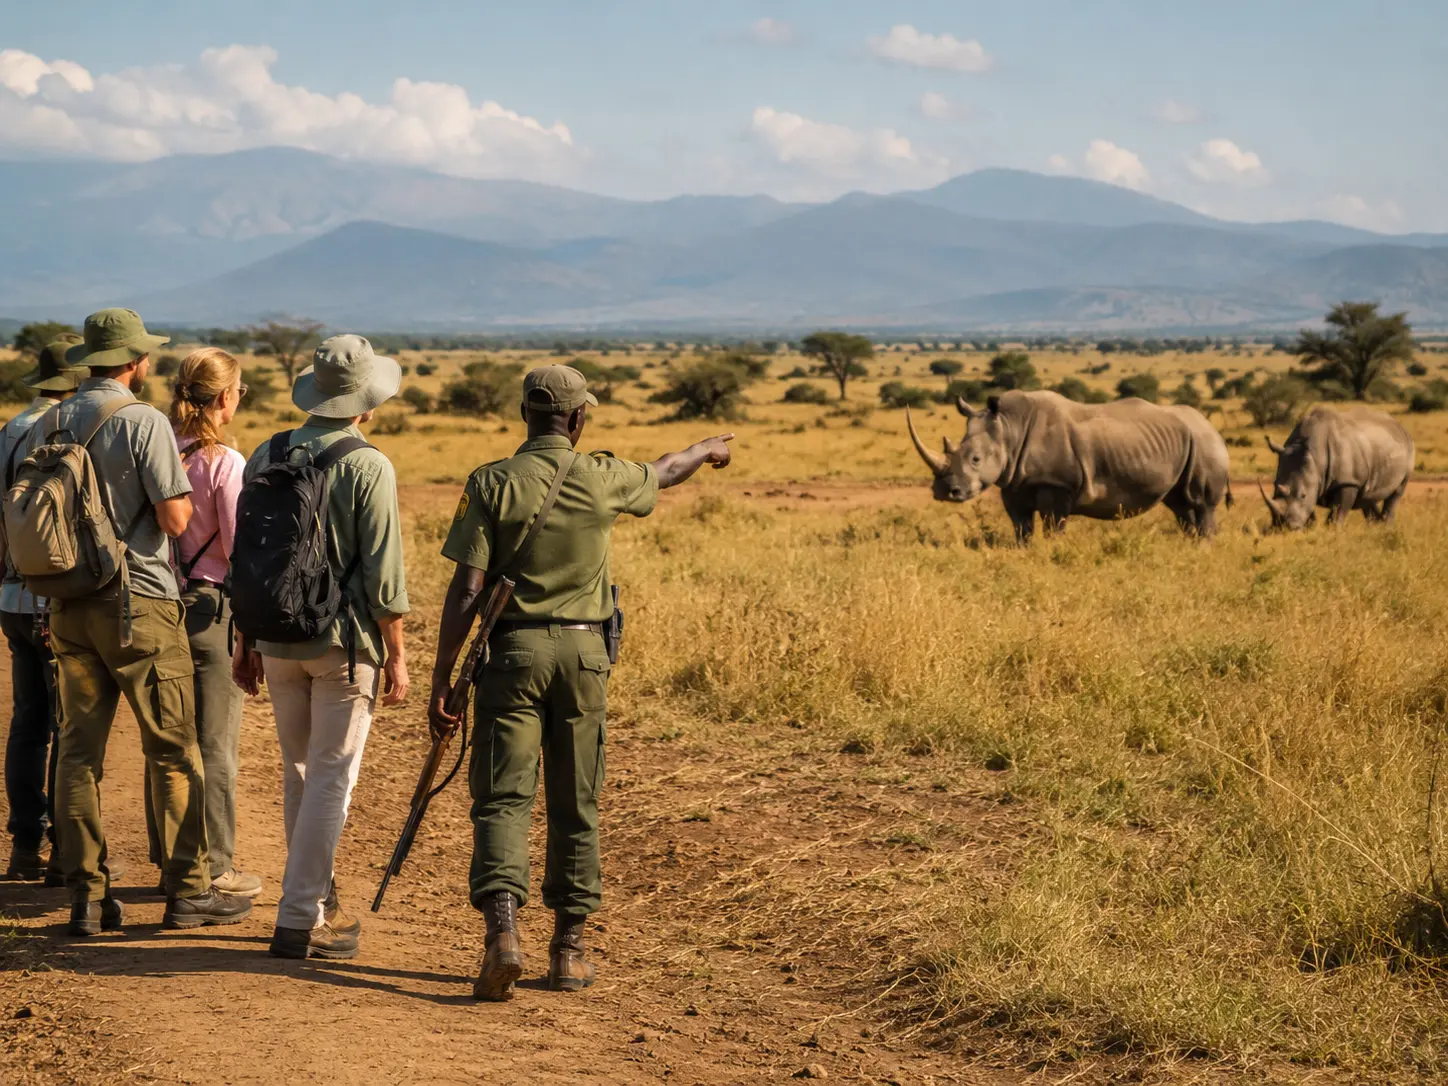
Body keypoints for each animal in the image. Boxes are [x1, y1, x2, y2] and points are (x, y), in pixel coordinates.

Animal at [906, 390, 1233, 541]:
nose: (945, 491)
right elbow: (1022, 528)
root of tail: (1212, 427)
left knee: (1201, 504)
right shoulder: (1012, 483)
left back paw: (1203, 548)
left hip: (1205, 445)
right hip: (1186, 444)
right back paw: (1190, 546)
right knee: (1181, 505)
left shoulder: (1057, 485)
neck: (1009, 430)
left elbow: (1054, 528)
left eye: (975, 459)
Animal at [1260, 405, 1413, 530]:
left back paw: (1386, 529)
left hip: (1408, 447)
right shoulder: (1312, 476)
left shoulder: (1348, 481)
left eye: (1303, 495)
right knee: (1367, 498)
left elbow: (1337, 514)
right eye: (1275, 489)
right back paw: (1375, 530)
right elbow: (1310, 510)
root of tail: (1399, 425)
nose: (1282, 527)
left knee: (1396, 493)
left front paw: (1333, 532)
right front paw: (1310, 528)